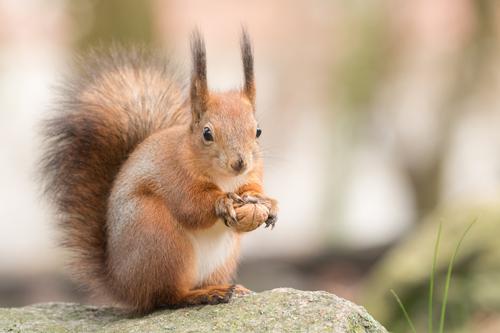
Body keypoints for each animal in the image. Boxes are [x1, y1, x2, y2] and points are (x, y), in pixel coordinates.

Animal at [40, 29, 278, 312]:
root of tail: (122, 285)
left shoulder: (253, 173)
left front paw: (267, 203)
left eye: (258, 131)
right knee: (166, 296)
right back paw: (202, 294)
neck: (225, 179)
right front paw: (222, 202)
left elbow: (251, 191)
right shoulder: (175, 175)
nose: (239, 163)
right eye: (207, 133)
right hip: (160, 238)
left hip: (221, 259)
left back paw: (227, 288)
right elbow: (191, 206)